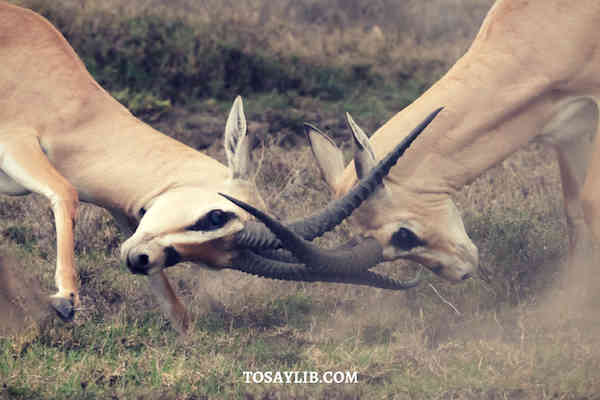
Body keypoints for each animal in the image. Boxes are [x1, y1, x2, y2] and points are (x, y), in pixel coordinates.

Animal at [0, 1, 440, 332]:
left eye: (214, 260)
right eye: (216, 216)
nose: (140, 260)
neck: (77, 109)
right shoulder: (14, 142)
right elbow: (66, 191)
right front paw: (64, 299)